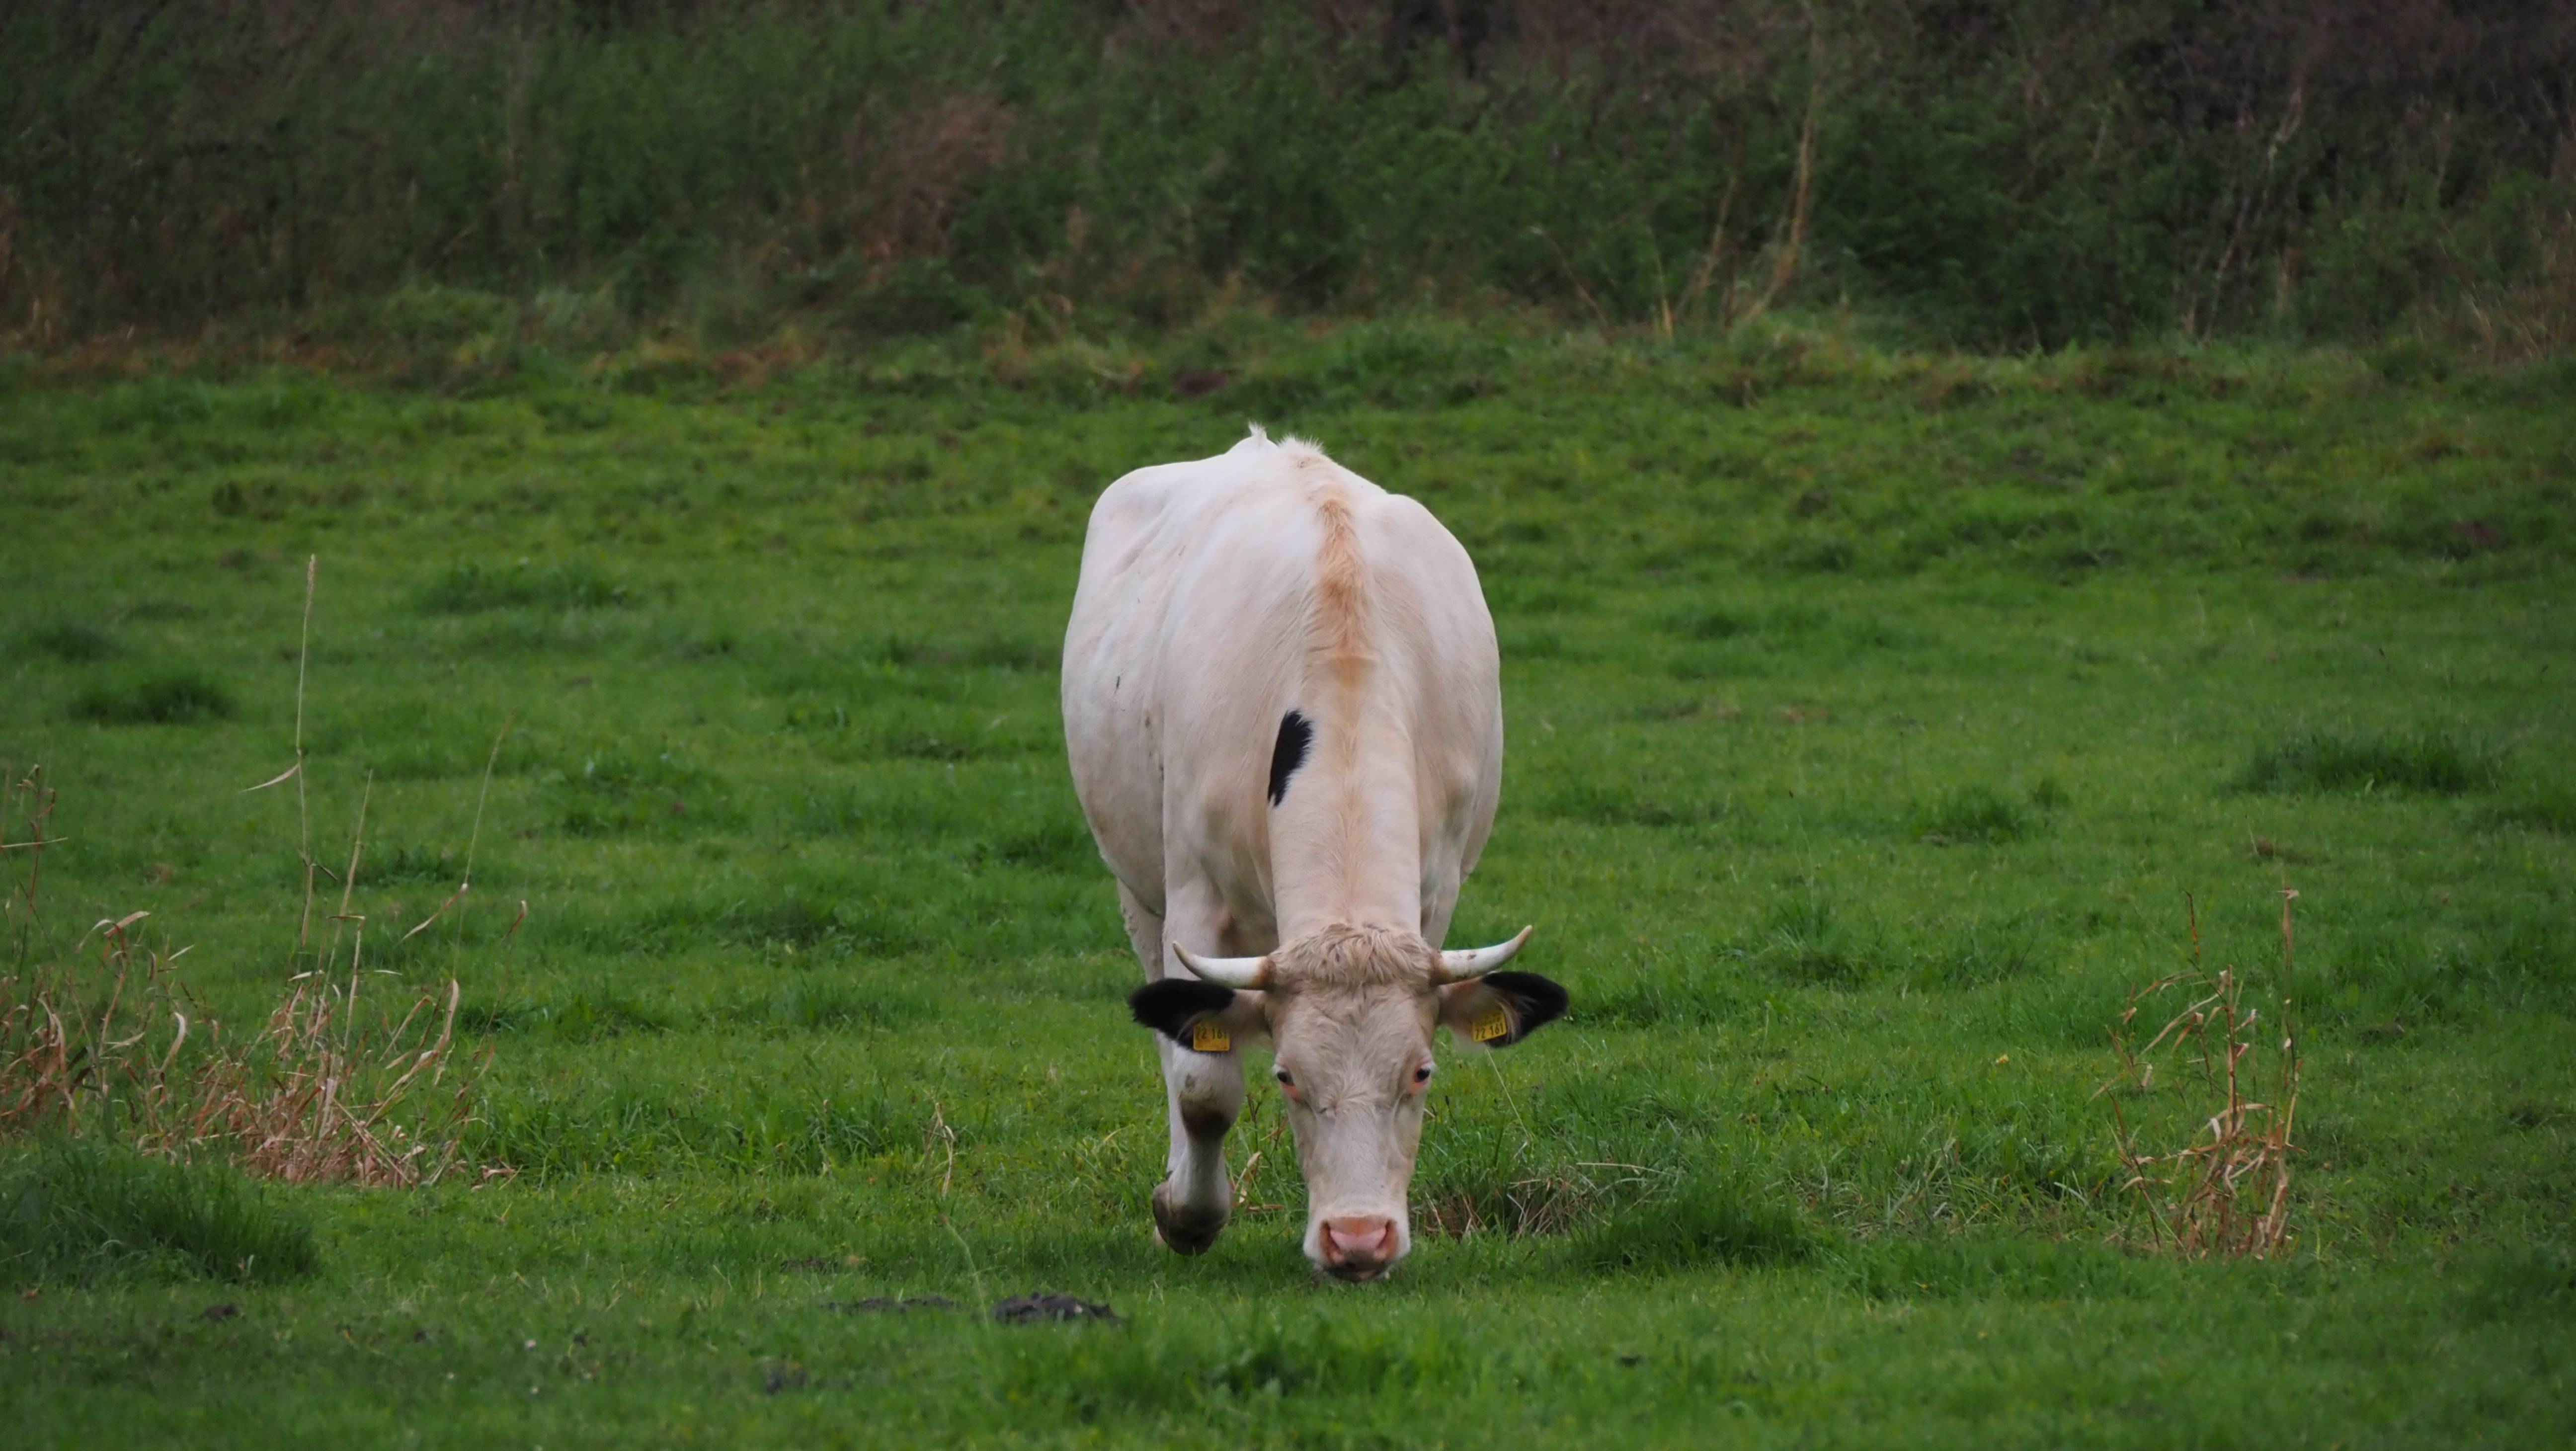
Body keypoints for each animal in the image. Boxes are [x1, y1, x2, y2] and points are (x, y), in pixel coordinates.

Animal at [1056, 427, 1556, 1283]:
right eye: (1288, 1077)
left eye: (1421, 1072)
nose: (1358, 1240)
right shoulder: (1195, 894)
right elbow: (1202, 1085)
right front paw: (1186, 1216)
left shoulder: (1435, 895)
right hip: (1139, 890)